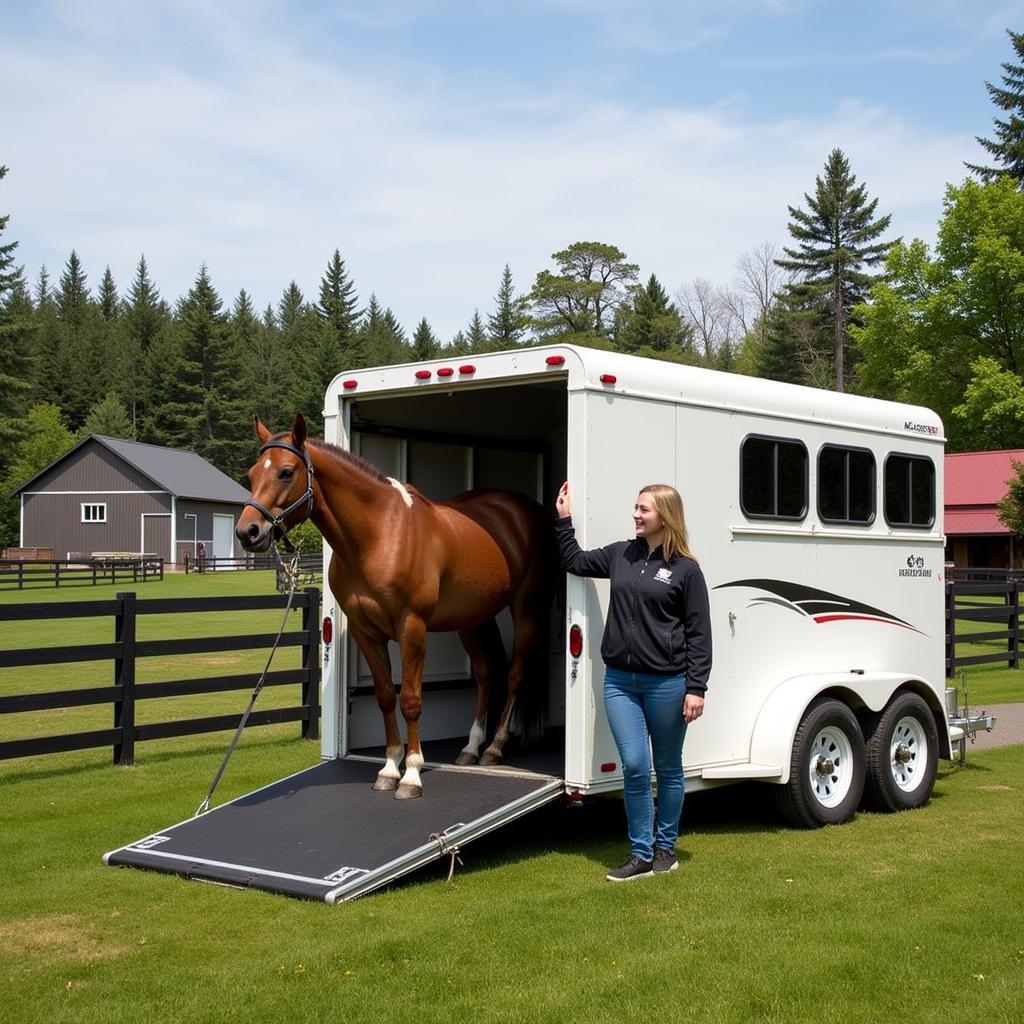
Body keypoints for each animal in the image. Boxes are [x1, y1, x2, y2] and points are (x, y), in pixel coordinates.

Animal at [234, 411, 557, 794]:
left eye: (286, 471)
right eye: (253, 473)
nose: (248, 532)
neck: (380, 535)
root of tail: (524, 510)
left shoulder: (411, 628)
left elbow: (411, 700)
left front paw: (412, 774)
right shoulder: (366, 632)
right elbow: (386, 695)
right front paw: (389, 769)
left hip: (527, 607)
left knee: (516, 673)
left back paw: (494, 747)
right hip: (473, 618)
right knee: (485, 672)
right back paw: (472, 747)